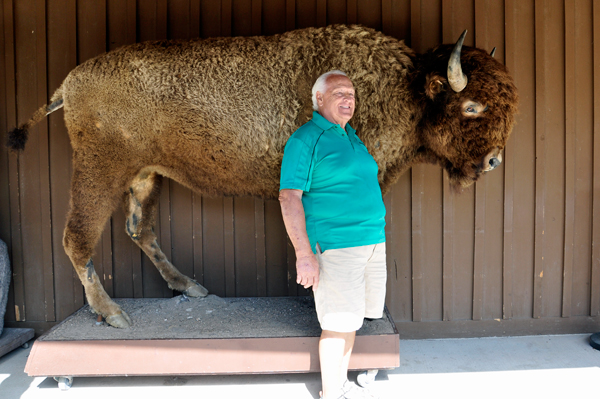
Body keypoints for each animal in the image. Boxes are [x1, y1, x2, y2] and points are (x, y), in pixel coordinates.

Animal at [7, 25, 516, 332]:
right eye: (472, 106)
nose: (494, 161)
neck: (406, 88)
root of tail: (69, 83)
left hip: (144, 176)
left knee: (139, 229)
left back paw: (189, 286)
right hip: (101, 170)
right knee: (77, 237)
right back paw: (113, 314)